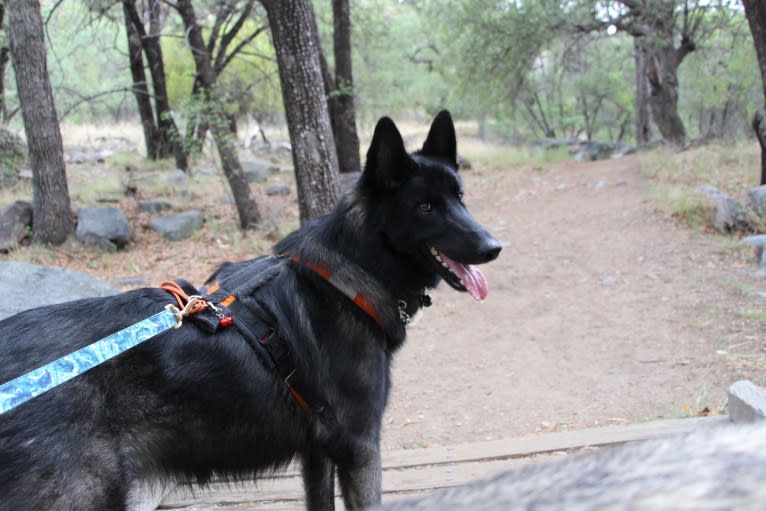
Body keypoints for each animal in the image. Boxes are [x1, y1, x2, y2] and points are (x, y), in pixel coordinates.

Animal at [0, 110, 500, 510]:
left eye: (460, 196)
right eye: (425, 207)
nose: (494, 247)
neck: (352, 270)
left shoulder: (317, 453)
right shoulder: (361, 450)